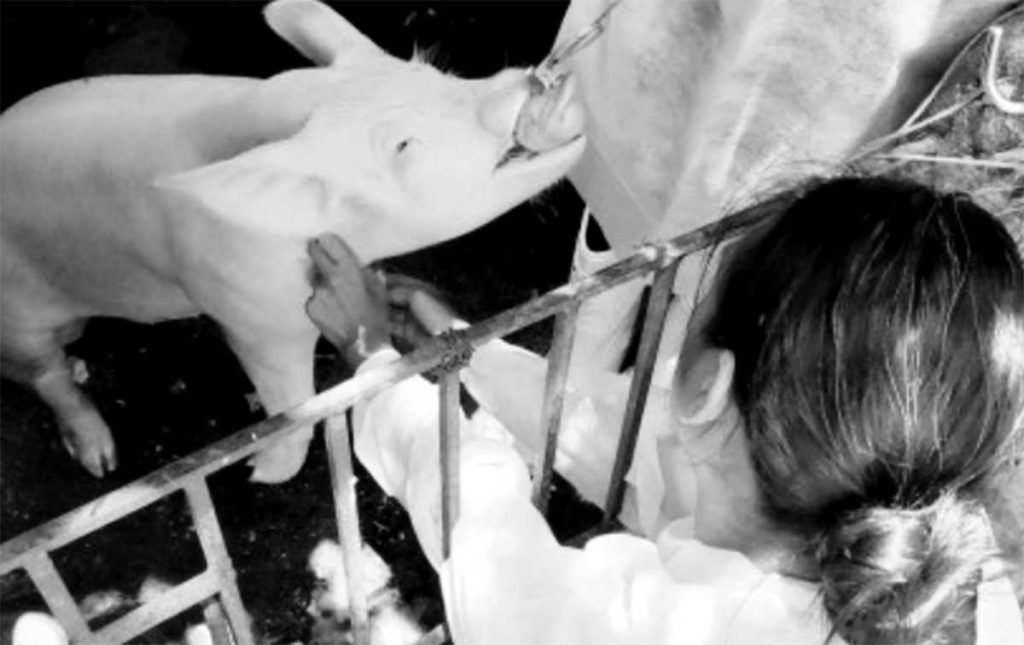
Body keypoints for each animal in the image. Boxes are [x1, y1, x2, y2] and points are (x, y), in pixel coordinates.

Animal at [0, 0, 585, 483]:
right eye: (400, 144)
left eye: (433, 72)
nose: (530, 80)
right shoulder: (253, 317)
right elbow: (296, 410)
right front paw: (259, 474)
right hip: (19, 315)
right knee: (45, 376)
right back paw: (102, 460)